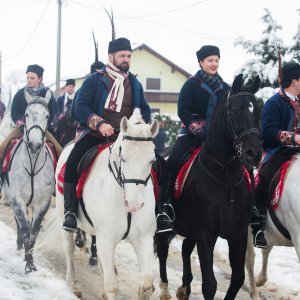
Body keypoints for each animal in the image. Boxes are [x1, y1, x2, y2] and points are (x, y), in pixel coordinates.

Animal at [1, 89, 55, 274]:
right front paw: (27, 261)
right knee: (19, 223)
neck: (32, 166)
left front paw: (30, 260)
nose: (34, 144)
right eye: (26, 114)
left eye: (47, 115)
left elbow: (34, 231)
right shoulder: (17, 199)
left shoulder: (43, 203)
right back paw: (19, 247)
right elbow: (25, 228)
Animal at [56, 109, 159, 300]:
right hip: (64, 217)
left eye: (151, 160)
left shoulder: (144, 238)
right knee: (69, 247)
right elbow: (112, 286)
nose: (134, 204)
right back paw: (74, 285)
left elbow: (147, 285)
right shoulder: (106, 237)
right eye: (123, 158)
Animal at [155, 73, 262, 300]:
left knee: (185, 248)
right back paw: (165, 290)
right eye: (235, 110)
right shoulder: (206, 235)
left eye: (257, 110)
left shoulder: (237, 235)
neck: (225, 176)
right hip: (160, 223)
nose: (254, 154)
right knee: (162, 250)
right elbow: (210, 284)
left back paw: (184, 288)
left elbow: (237, 279)